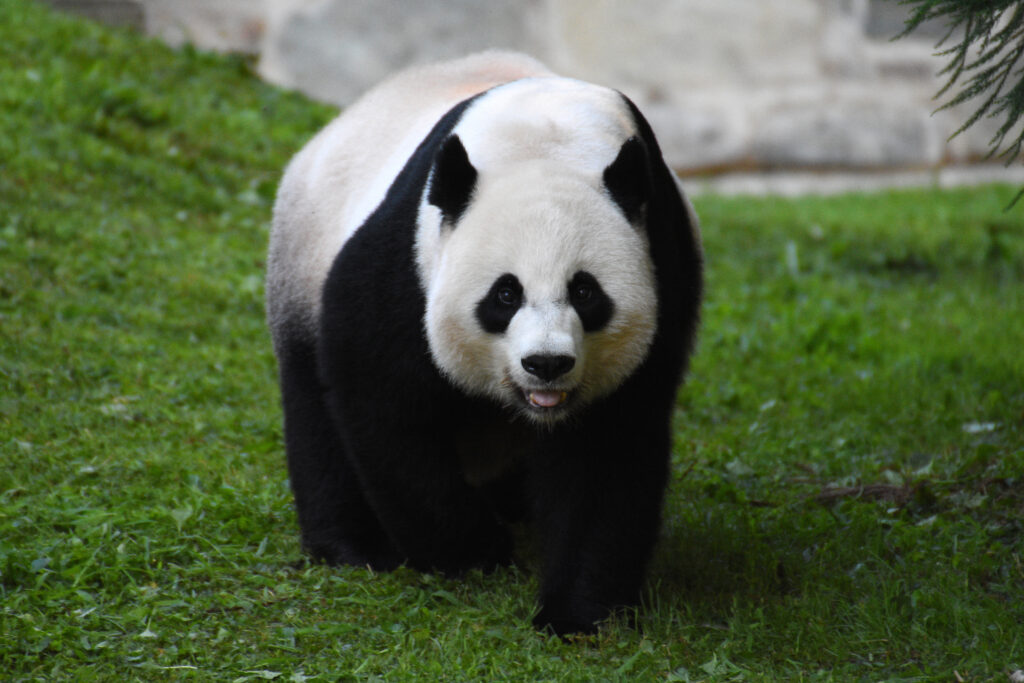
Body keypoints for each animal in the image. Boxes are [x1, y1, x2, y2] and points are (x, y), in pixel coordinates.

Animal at [266, 51, 702, 636]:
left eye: (585, 291)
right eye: (506, 293)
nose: (546, 363)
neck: (548, 136)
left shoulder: (662, 263)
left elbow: (608, 447)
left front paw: (577, 616)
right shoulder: (409, 263)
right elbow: (386, 407)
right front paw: (474, 553)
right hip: (304, 258)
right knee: (313, 409)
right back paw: (353, 547)